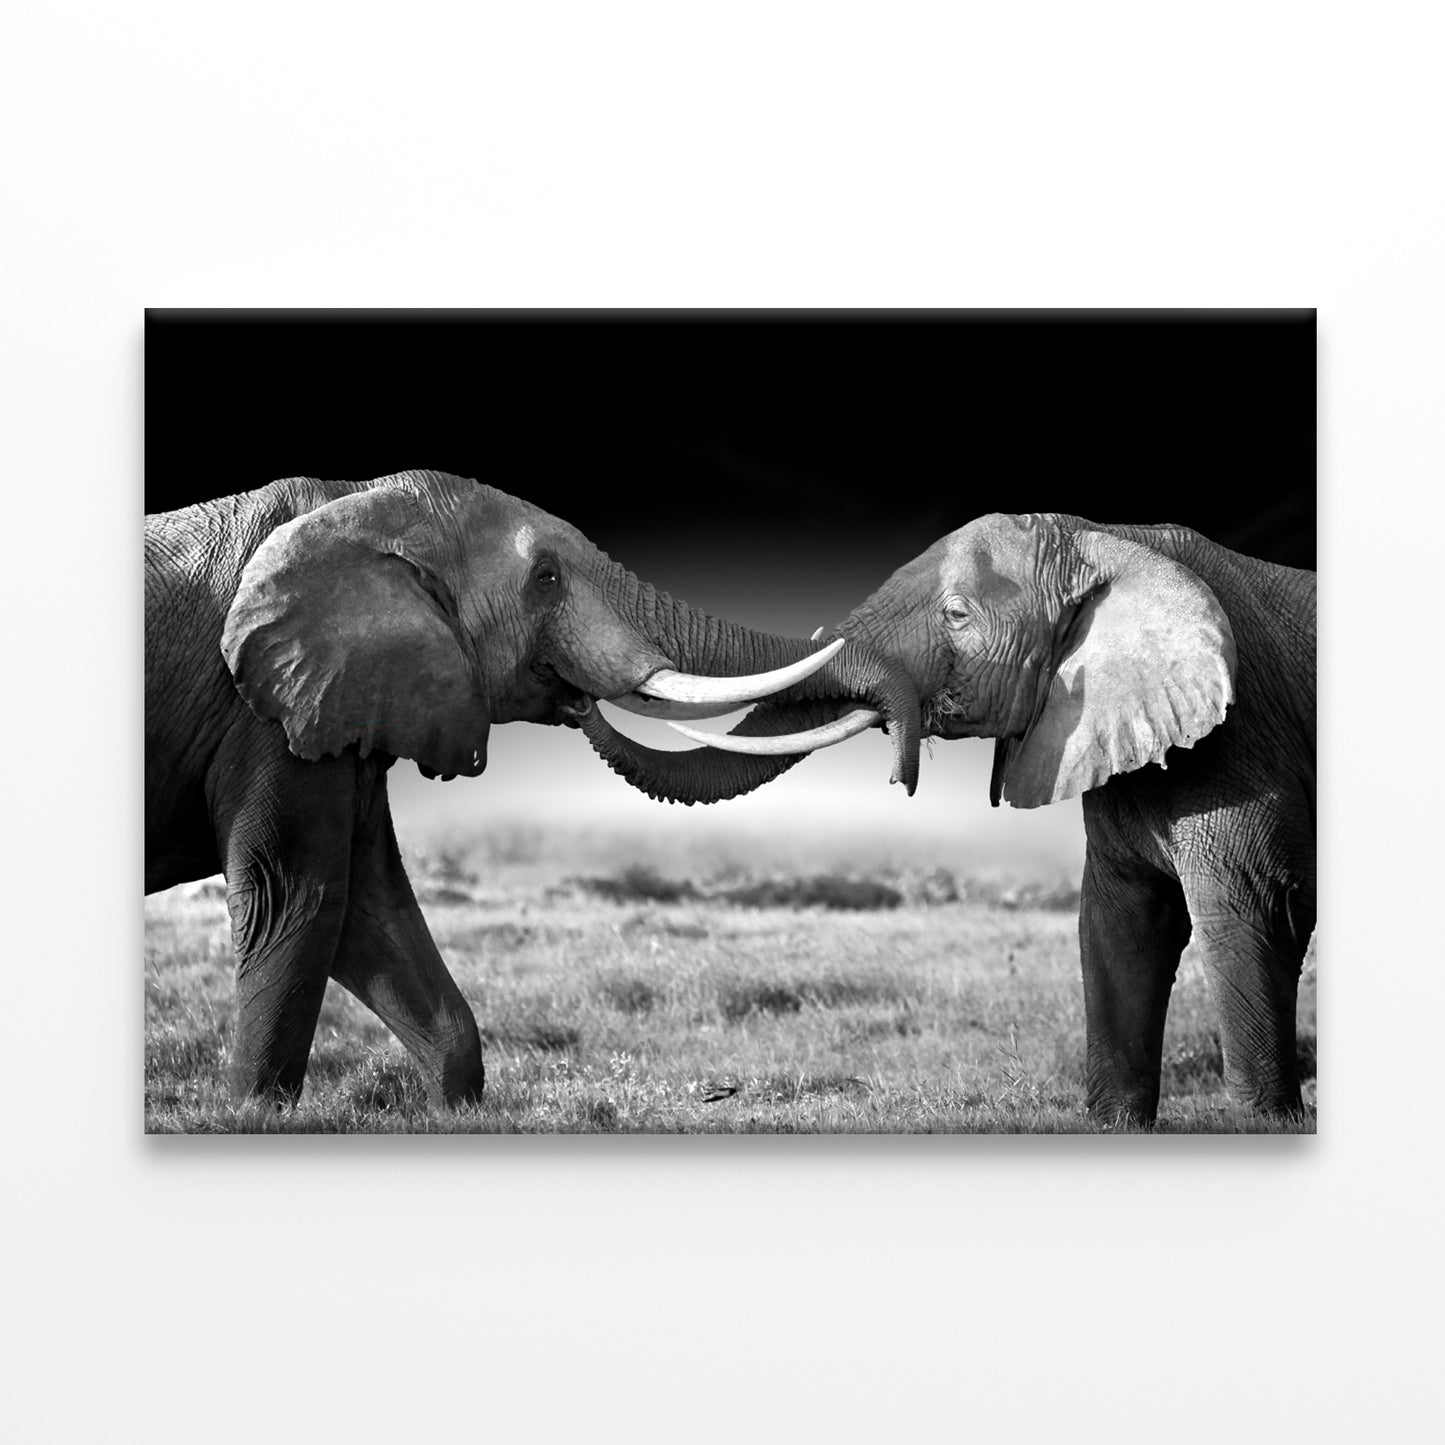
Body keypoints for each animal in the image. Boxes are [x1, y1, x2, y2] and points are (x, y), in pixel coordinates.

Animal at [145, 469, 911, 1105]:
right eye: (545, 578)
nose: (581, 702)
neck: (356, 500)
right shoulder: (261, 713)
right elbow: (295, 897)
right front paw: (253, 1113)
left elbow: (370, 904)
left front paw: (453, 1109)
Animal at [660, 513, 1316, 1126]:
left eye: (956, 614)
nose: (901, 777)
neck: (1111, 538)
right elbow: (1117, 926)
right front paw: (1115, 1125)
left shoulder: (1244, 745)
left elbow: (1242, 918)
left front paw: (1264, 1125)